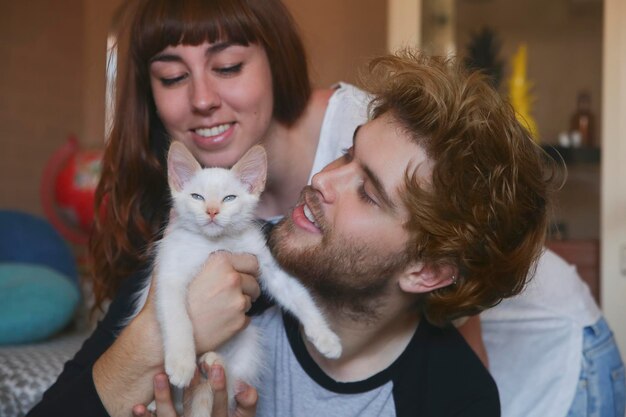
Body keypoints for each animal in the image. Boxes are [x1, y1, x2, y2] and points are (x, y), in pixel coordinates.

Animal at [129, 141, 338, 414]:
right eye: (197, 197)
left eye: (229, 198)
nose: (212, 211)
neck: (216, 242)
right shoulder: (170, 272)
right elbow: (177, 317)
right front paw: (181, 363)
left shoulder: (264, 262)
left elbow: (297, 295)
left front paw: (325, 336)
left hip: (248, 342)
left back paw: (213, 363)